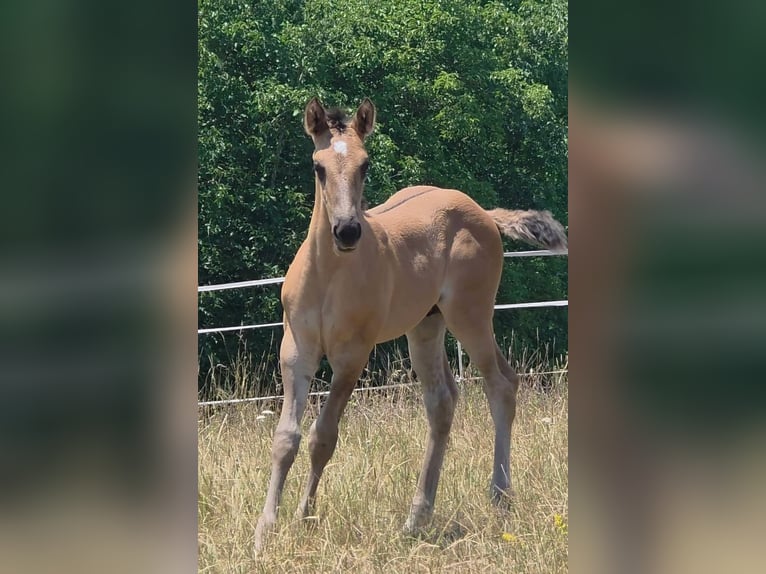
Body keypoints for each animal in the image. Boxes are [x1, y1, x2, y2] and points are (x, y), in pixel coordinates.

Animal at [254, 98, 567, 552]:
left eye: (365, 164)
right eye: (319, 166)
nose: (346, 230)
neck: (329, 275)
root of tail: (483, 213)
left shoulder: (352, 356)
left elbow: (322, 437)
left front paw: (303, 517)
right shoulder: (297, 350)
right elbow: (285, 439)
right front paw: (264, 531)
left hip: (471, 316)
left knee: (502, 384)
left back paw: (500, 498)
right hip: (425, 327)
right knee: (442, 402)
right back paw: (416, 517)